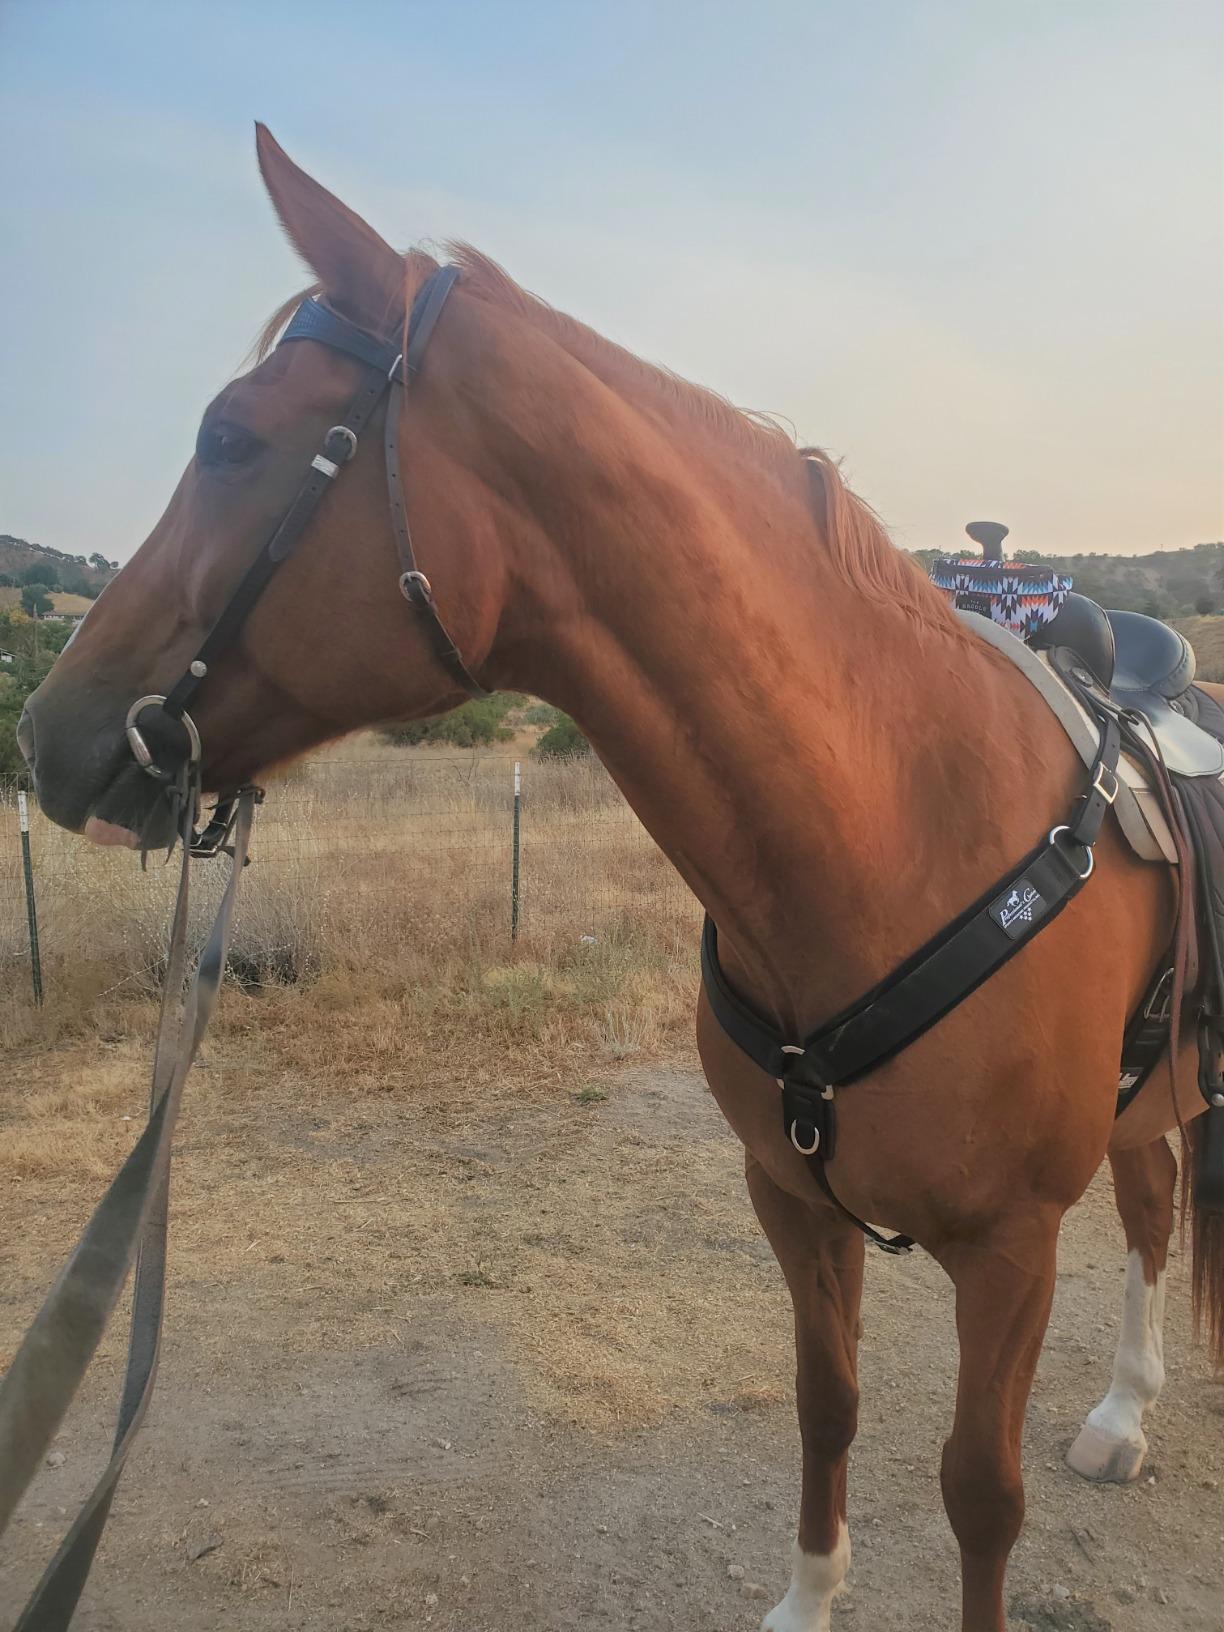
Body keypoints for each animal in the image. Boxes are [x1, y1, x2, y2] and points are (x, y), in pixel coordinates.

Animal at [18, 126, 1222, 1632]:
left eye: (232, 439)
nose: (47, 733)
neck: (894, 828)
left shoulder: (1009, 1250)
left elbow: (979, 1499)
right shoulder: (789, 1202)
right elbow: (826, 1406)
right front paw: (806, 1601)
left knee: (1154, 1213)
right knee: (1153, 1197)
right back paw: (1123, 1413)